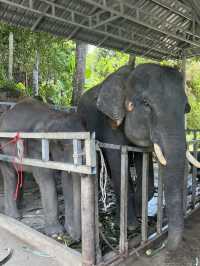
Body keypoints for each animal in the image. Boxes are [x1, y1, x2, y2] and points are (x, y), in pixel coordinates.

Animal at [0, 97, 82, 241]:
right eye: (61, 147)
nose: (76, 239)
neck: (55, 116)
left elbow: (67, 179)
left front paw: (68, 231)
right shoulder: (36, 147)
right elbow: (46, 179)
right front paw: (56, 234)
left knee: (19, 173)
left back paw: (20, 206)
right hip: (2, 149)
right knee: (10, 175)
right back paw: (14, 216)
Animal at [77, 63, 194, 250]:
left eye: (185, 108)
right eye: (146, 104)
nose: (163, 244)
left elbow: (144, 166)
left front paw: (140, 214)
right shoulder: (109, 122)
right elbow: (117, 160)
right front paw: (131, 226)